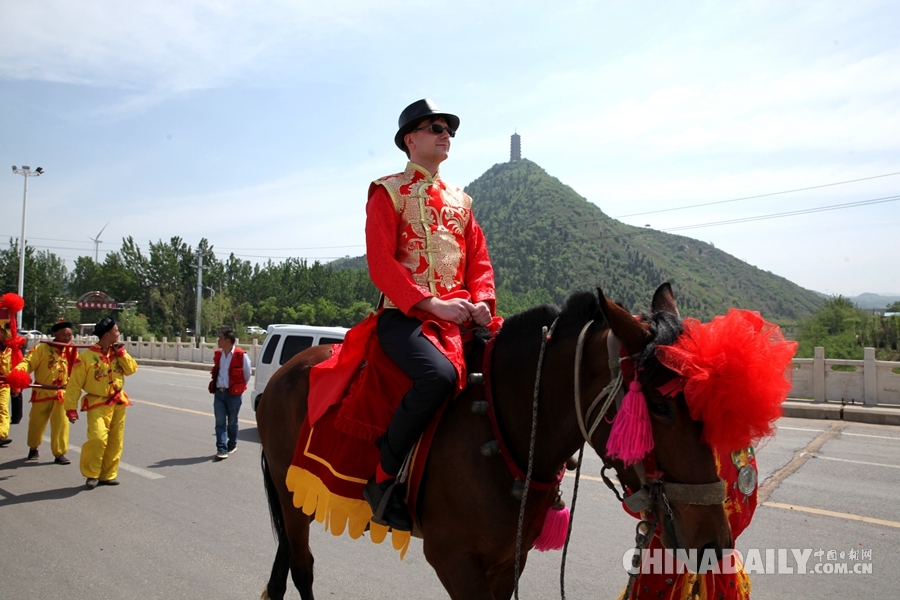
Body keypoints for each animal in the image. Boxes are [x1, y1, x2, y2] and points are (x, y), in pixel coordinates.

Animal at [256, 284, 736, 600]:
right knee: (302, 566)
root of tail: (284, 373)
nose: (714, 545)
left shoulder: (509, 559)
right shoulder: (454, 559)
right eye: (660, 406)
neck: (504, 425)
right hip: (289, 490)